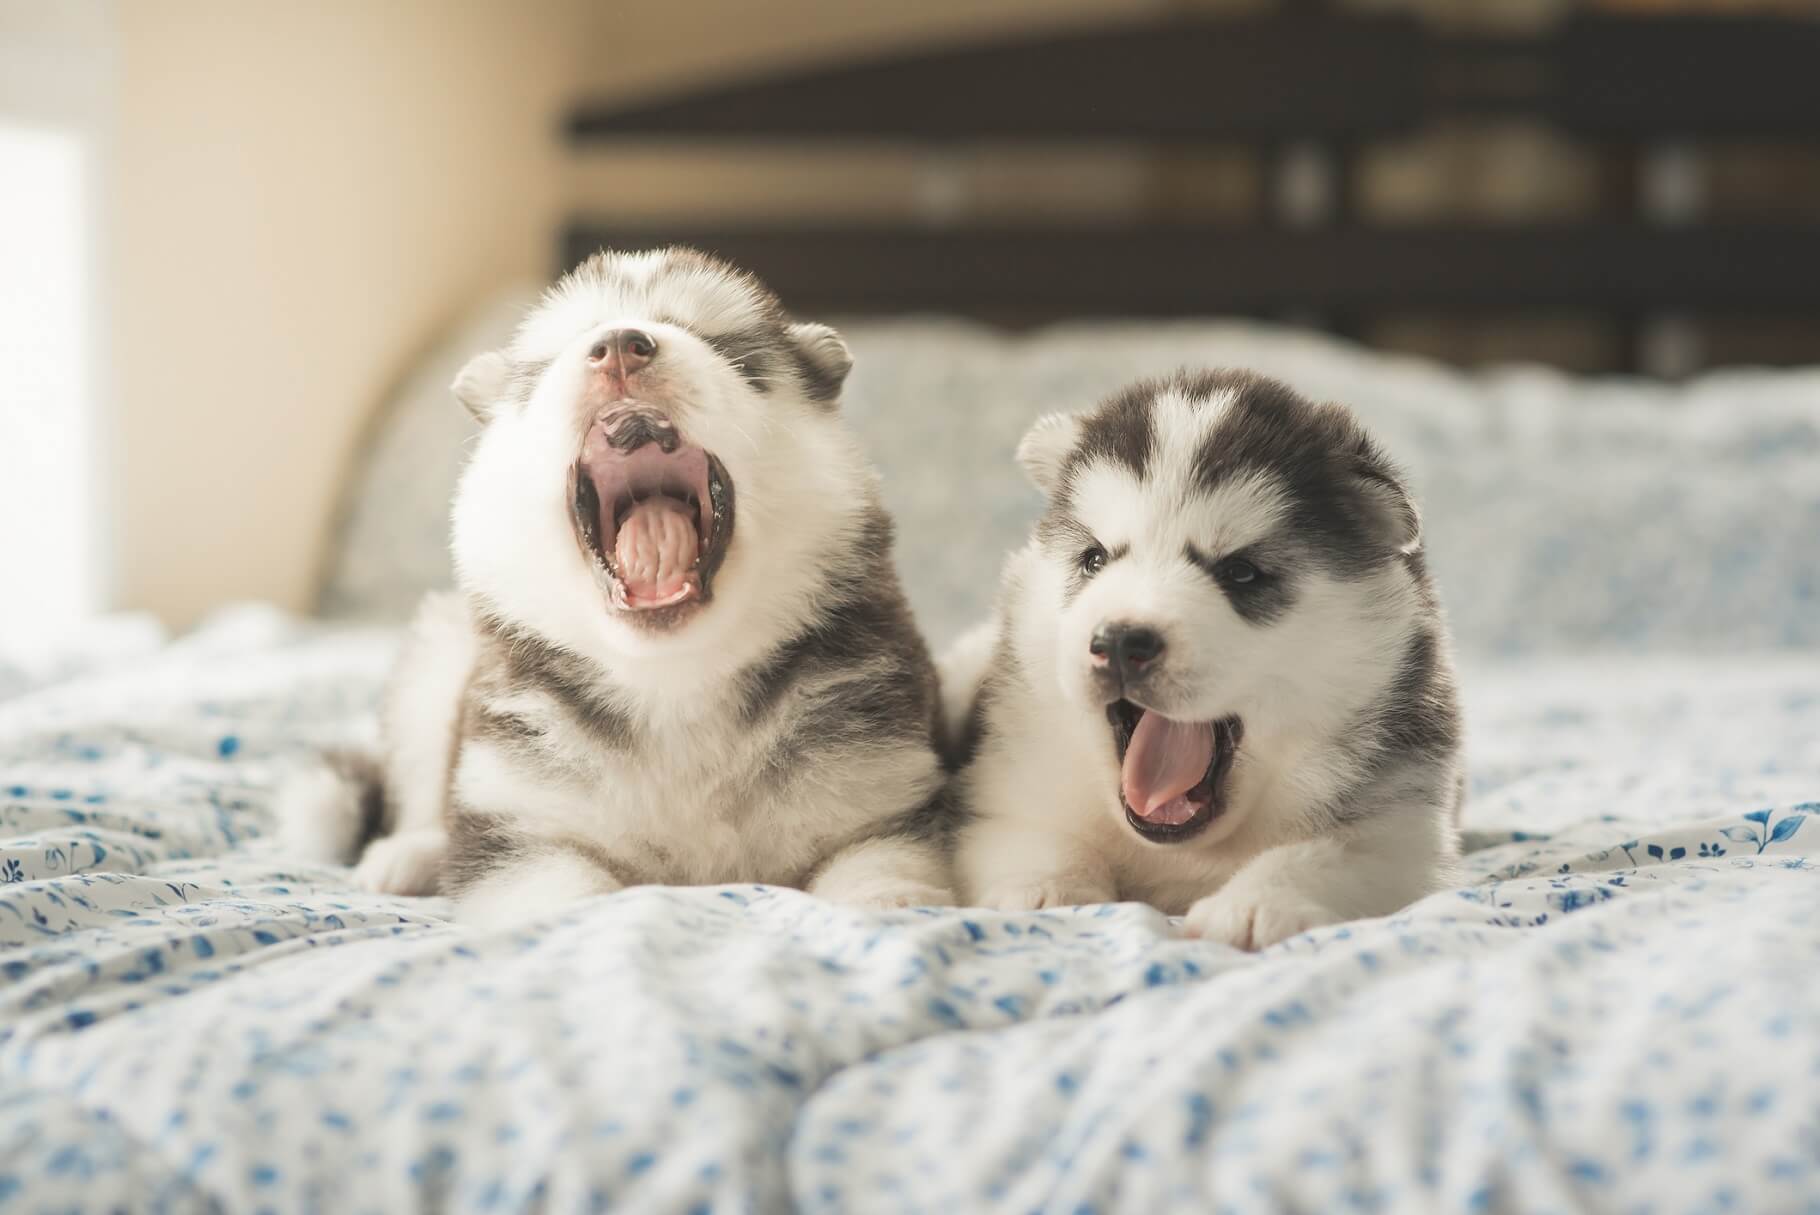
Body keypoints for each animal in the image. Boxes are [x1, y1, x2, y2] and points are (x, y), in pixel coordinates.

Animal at [946, 371, 1470, 945]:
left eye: (1240, 573)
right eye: (1095, 559)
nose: (1121, 642)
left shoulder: (1404, 829)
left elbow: (1327, 852)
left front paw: (1257, 904)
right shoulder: (1006, 786)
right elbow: (1034, 832)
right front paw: (1048, 888)